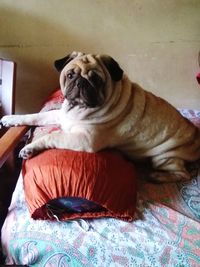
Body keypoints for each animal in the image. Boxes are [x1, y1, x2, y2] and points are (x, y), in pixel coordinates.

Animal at [1, 51, 200, 183]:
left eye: (96, 80)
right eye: (70, 75)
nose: (81, 82)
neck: (78, 109)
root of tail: (195, 136)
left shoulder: (85, 139)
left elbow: (53, 135)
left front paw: (30, 148)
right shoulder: (61, 115)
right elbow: (35, 116)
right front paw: (11, 119)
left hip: (164, 156)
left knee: (183, 174)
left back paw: (157, 176)